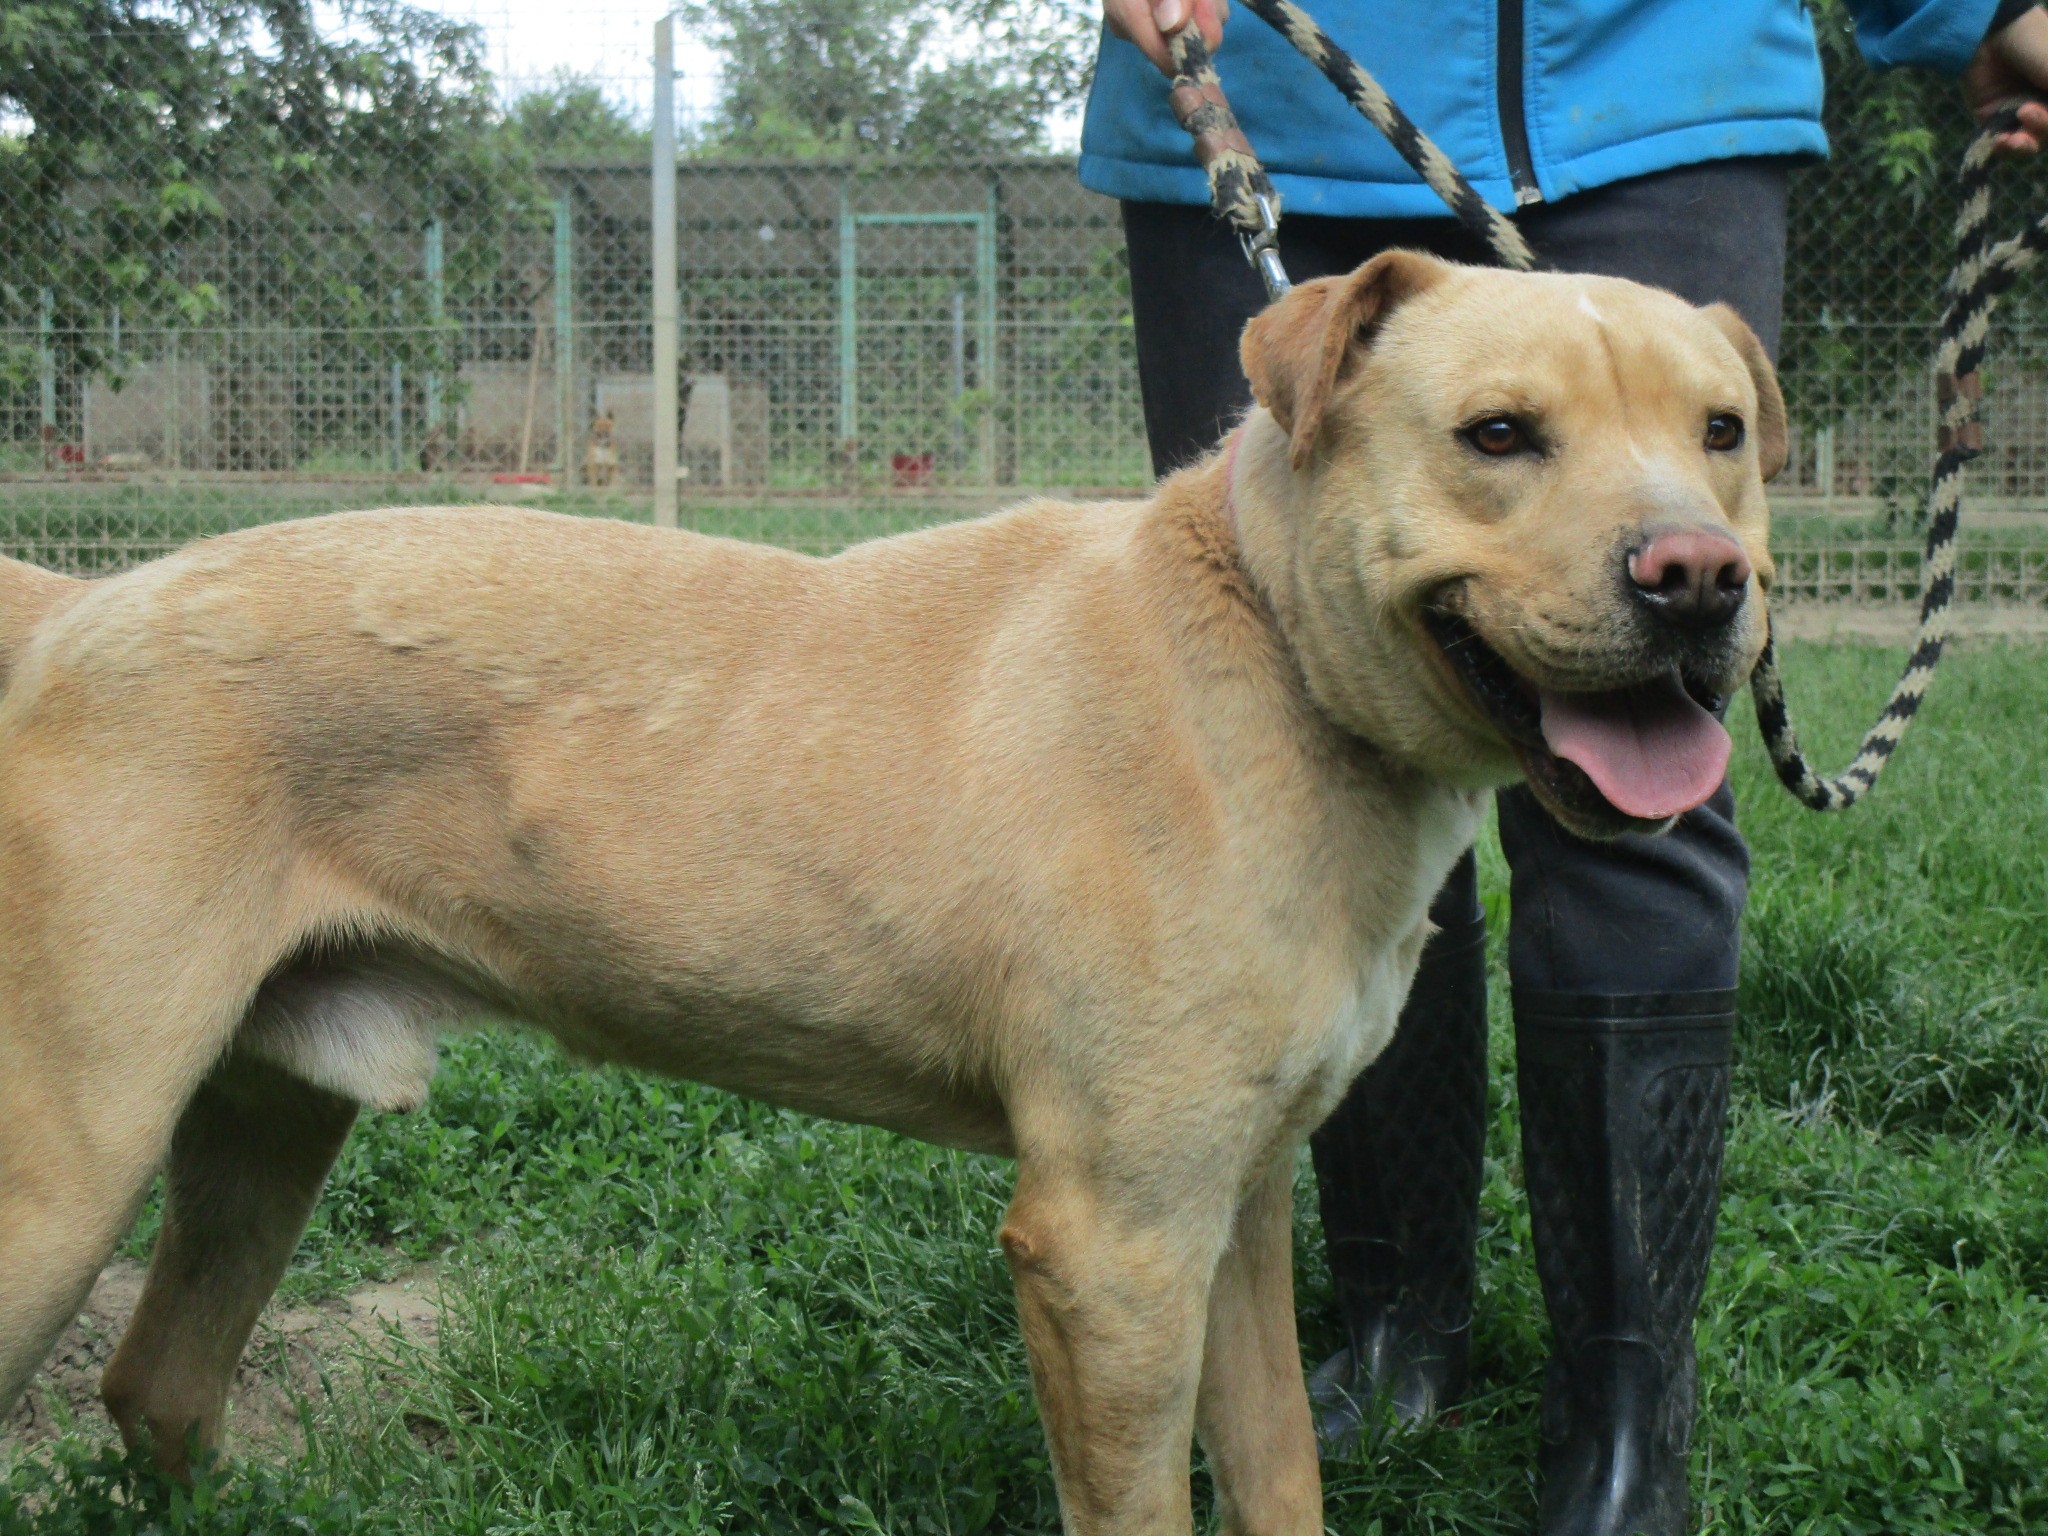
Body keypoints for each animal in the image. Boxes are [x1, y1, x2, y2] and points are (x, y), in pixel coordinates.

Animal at [0, 251, 1779, 1533]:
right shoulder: (1110, 1246)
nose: (1701, 578)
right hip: (64, 1173)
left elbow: (1280, 1476)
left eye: (1724, 435)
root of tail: (74, 609)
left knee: (156, 1385)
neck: (1268, 654)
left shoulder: (1234, 1212)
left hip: (262, 1118)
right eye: (1499, 436)